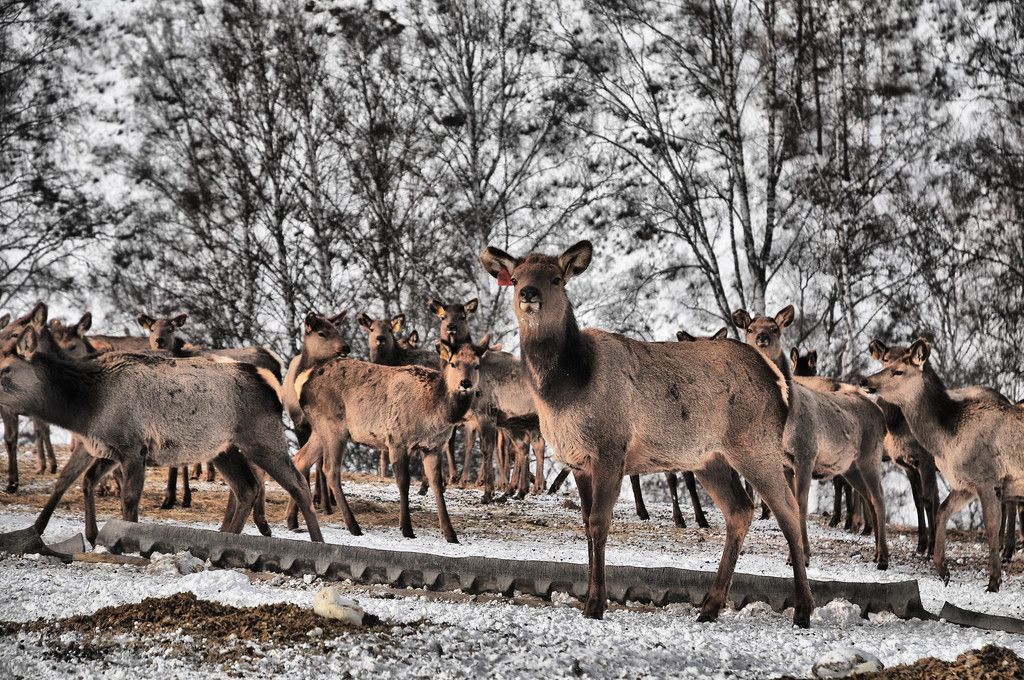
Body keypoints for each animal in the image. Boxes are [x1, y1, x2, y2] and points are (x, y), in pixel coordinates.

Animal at [0, 321, 323, 557]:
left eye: (6, 369)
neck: (86, 408)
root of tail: (272, 386)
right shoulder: (108, 449)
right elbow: (82, 480)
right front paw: (84, 535)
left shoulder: (133, 447)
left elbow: (128, 498)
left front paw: (127, 544)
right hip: (224, 449)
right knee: (247, 487)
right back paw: (226, 540)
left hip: (262, 437)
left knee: (296, 483)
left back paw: (318, 543)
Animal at [282, 333, 485, 540]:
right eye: (453, 363)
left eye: (477, 365)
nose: (466, 383)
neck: (435, 411)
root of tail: (303, 380)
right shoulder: (397, 438)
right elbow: (403, 482)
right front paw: (406, 529)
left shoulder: (433, 447)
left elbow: (437, 484)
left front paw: (450, 534)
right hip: (332, 426)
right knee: (330, 470)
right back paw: (353, 526)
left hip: (319, 429)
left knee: (301, 459)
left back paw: (292, 520)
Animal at [481, 241, 815, 630]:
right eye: (516, 277)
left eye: (556, 278)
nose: (528, 294)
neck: (568, 388)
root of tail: (778, 382)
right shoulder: (578, 461)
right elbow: (586, 523)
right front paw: (590, 600)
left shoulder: (610, 449)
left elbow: (599, 522)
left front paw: (595, 604)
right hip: (710, 459)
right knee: (740, 510)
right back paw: (709, 606)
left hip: (756, 445)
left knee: (788, 510)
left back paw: (803, 610)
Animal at [729, 307, 888, 569]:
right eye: (749, 329)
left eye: (775, 328)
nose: (762, 338)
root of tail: (881, 415)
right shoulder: (784, 463)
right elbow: (788, 506)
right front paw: (796, 555)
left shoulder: (806, 453)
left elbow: (800, 504)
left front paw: (801, 557)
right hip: (850, 467)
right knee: (868, 498)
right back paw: (876, 553)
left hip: (870, 456)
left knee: (879, 499)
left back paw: (883, 558)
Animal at [860, 340, 1024, 589]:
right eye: (884, 362)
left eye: (899, 371)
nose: (865, 381)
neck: (948, 438)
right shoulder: (964, 484)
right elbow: (942, 509)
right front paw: (942, 569)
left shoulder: (986, 478)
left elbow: (990, 526)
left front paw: (994, 581)